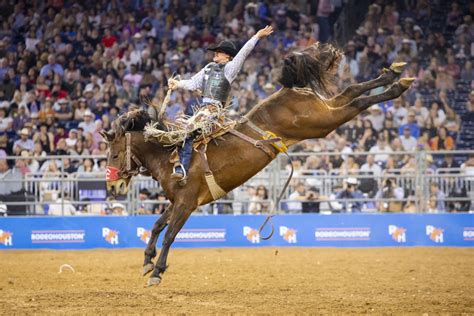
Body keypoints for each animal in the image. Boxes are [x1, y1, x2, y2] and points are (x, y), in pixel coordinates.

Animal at [102, 42, 412, 286]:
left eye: (114, 155)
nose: (113, 186)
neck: (171, 156)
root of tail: (290, 89)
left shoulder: (187, 203)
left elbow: (169, 235)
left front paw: (157, 272)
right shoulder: (176, 202)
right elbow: (156, 226)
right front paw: (146, 261)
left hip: (322, 123)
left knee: (356, 104)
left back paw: (396, 85)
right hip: (324, 111)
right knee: (351, 91)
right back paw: (393, 75)